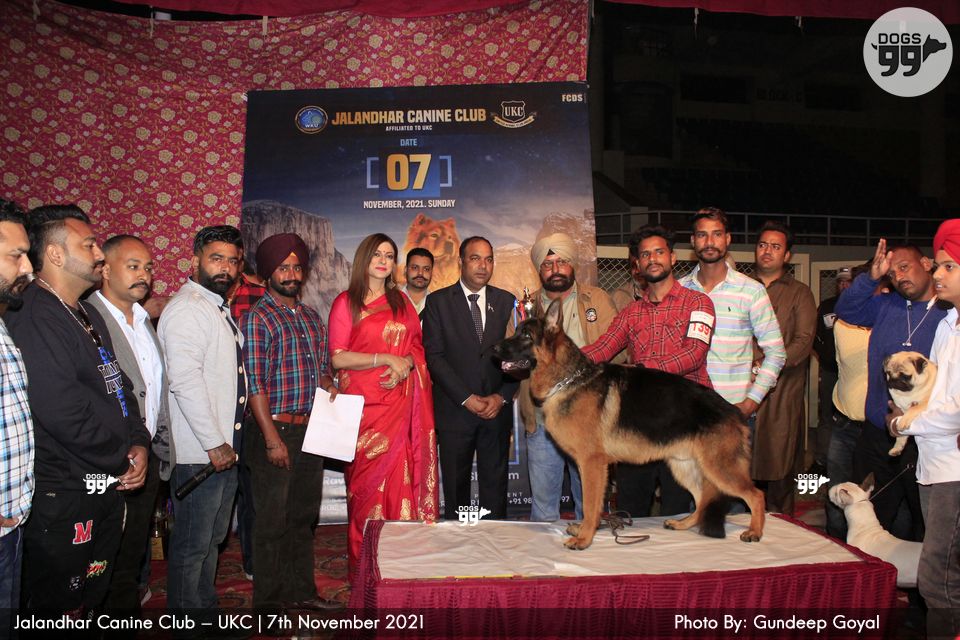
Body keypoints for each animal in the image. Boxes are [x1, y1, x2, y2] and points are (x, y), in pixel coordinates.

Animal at [492, 299, 765, 550]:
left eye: (526, 336)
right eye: (517, 332)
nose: (493, 348)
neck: (568, 380)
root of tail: (733, 410)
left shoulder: (592, 464)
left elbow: (590, 505)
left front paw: (584, 538)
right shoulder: (586, 465)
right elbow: (589, 504)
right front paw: (584, 530)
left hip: (720, 469)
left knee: (755, 494)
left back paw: (755, 531)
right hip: (684, 466)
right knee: (702, 499)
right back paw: (683, 523)